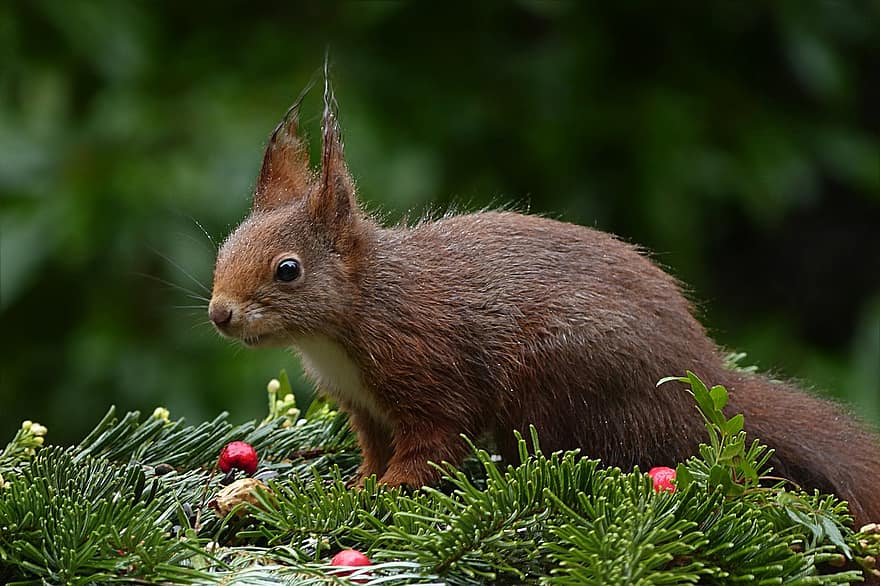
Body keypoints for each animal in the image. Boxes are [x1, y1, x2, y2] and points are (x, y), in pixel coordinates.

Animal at [208, 83, 880, 524]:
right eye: (224, 248)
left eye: (288, 271)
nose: (220, 313)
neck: (358, 313)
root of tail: (701, 379)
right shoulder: (365, 408)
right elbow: (375, 450)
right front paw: (356, 484)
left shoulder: (429, 372)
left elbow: (431, 449)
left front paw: (383, 493)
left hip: (557, 381)